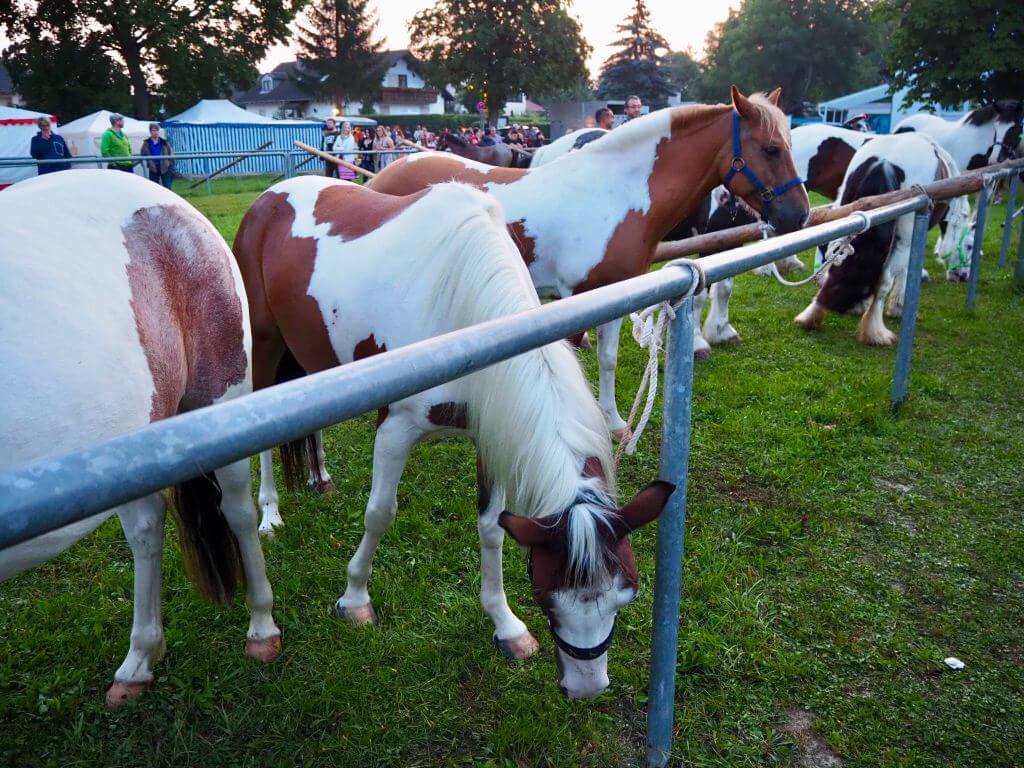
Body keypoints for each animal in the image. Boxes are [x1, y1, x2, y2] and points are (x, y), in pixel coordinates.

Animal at [0, 169, 280, 708]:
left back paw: (262, 626)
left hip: (222, 401)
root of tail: (175, 205)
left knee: (236, 511)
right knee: (148, 527)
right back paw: (139, 661)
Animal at [234, 177, 675, 700]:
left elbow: (492, 528)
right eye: (544, 595)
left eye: (626, 595)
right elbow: (380, 513)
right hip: (264, 348)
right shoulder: (395, 427)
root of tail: (271, 195)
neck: (466, 307)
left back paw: (319, 478)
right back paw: (270, 514)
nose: (586, 688)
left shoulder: (494, 432)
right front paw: (355, 599)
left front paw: (506, 627)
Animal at [368, 85, 806, 438]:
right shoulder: (579, 295)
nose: (798, 215)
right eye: (771, 148)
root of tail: (384, 175)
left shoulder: (612, 294)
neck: (614, 193)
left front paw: (613, 422)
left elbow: (606, 359)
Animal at [794, 134, 970, 346]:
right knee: (886, 279)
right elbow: (898, 275)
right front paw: (892, 314)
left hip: (847, 205)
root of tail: (886, 161)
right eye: (969, 246)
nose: (962, 276)